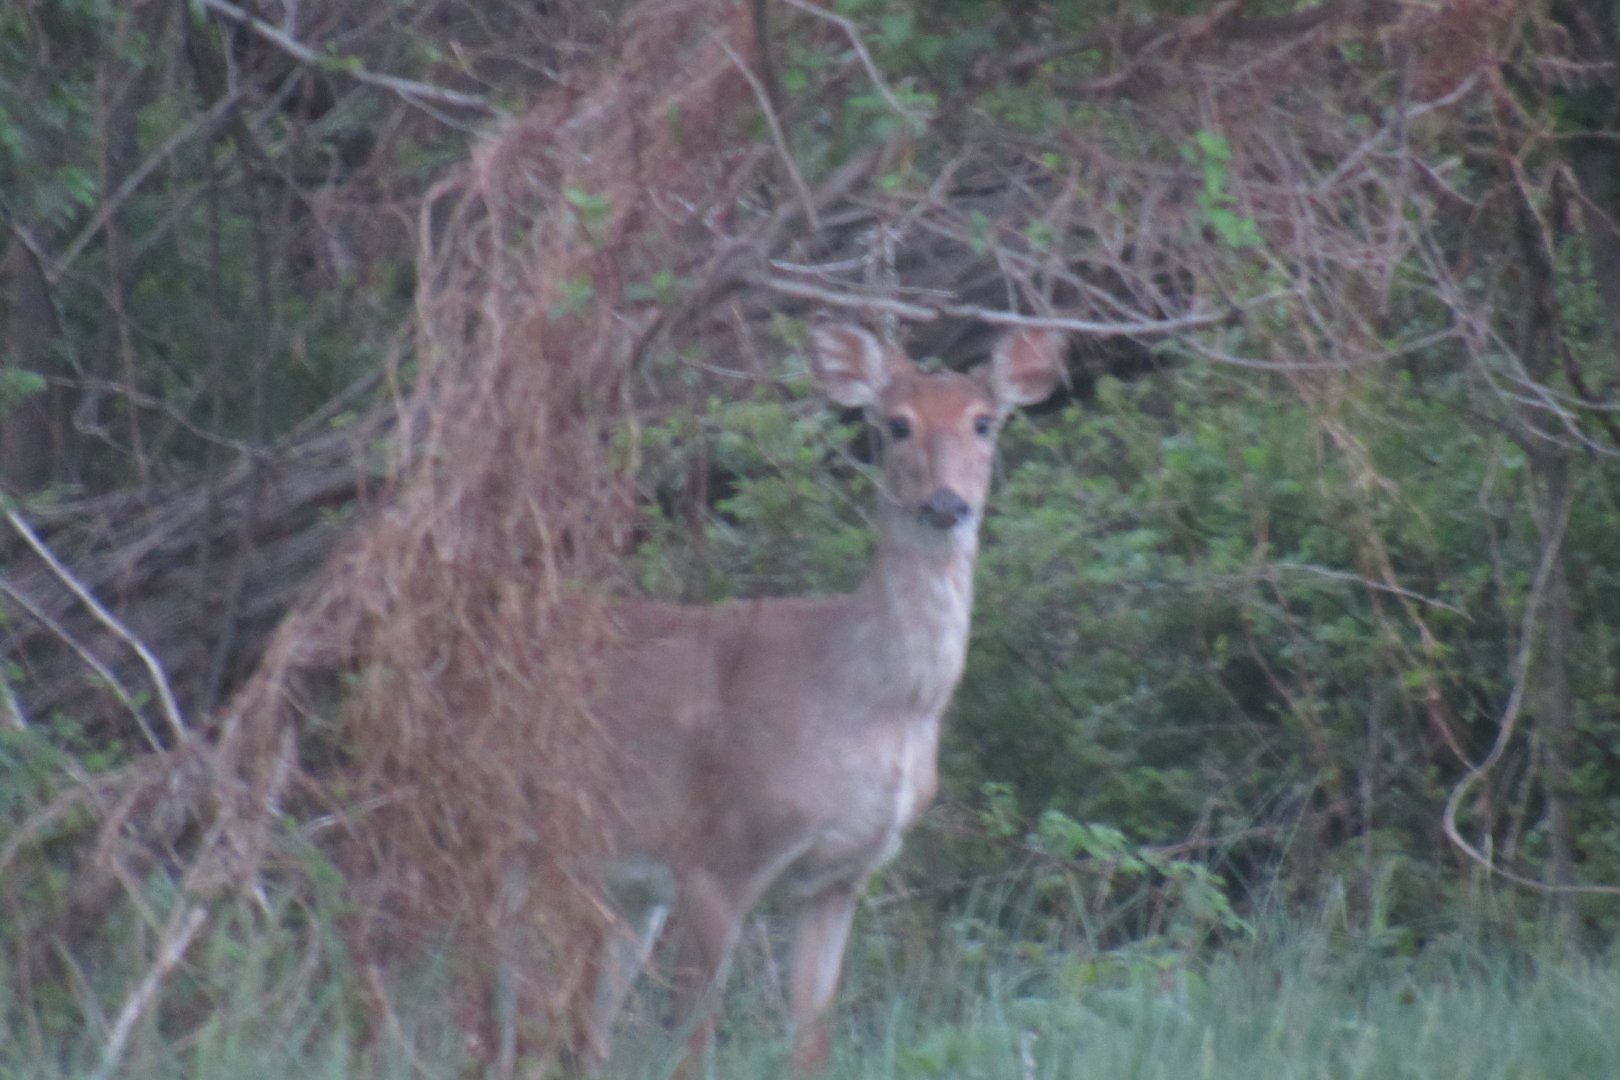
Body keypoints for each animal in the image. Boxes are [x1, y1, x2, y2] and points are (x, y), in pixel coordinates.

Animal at [574, 320, 1065, 1075]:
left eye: (984, 422)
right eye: (896, 424)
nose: (947, 504)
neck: (880, 703)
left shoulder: (840, 878)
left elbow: (811, 1041)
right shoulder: (720, 855)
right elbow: (691, 1044)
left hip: (622, 887)